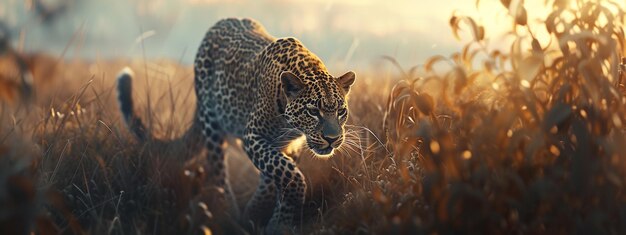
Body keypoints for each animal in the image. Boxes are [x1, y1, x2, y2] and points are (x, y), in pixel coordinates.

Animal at [114, 17, 354, 233]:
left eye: (341, 112)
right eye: (313, 111)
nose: (332, 138)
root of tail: (217, 25)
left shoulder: (288, 145)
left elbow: (276, 177)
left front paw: (266, 217)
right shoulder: (254, 137)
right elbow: (288, 174)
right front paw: (267, 218)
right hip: (212, 123)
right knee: (218, 171)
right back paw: (227, 213)